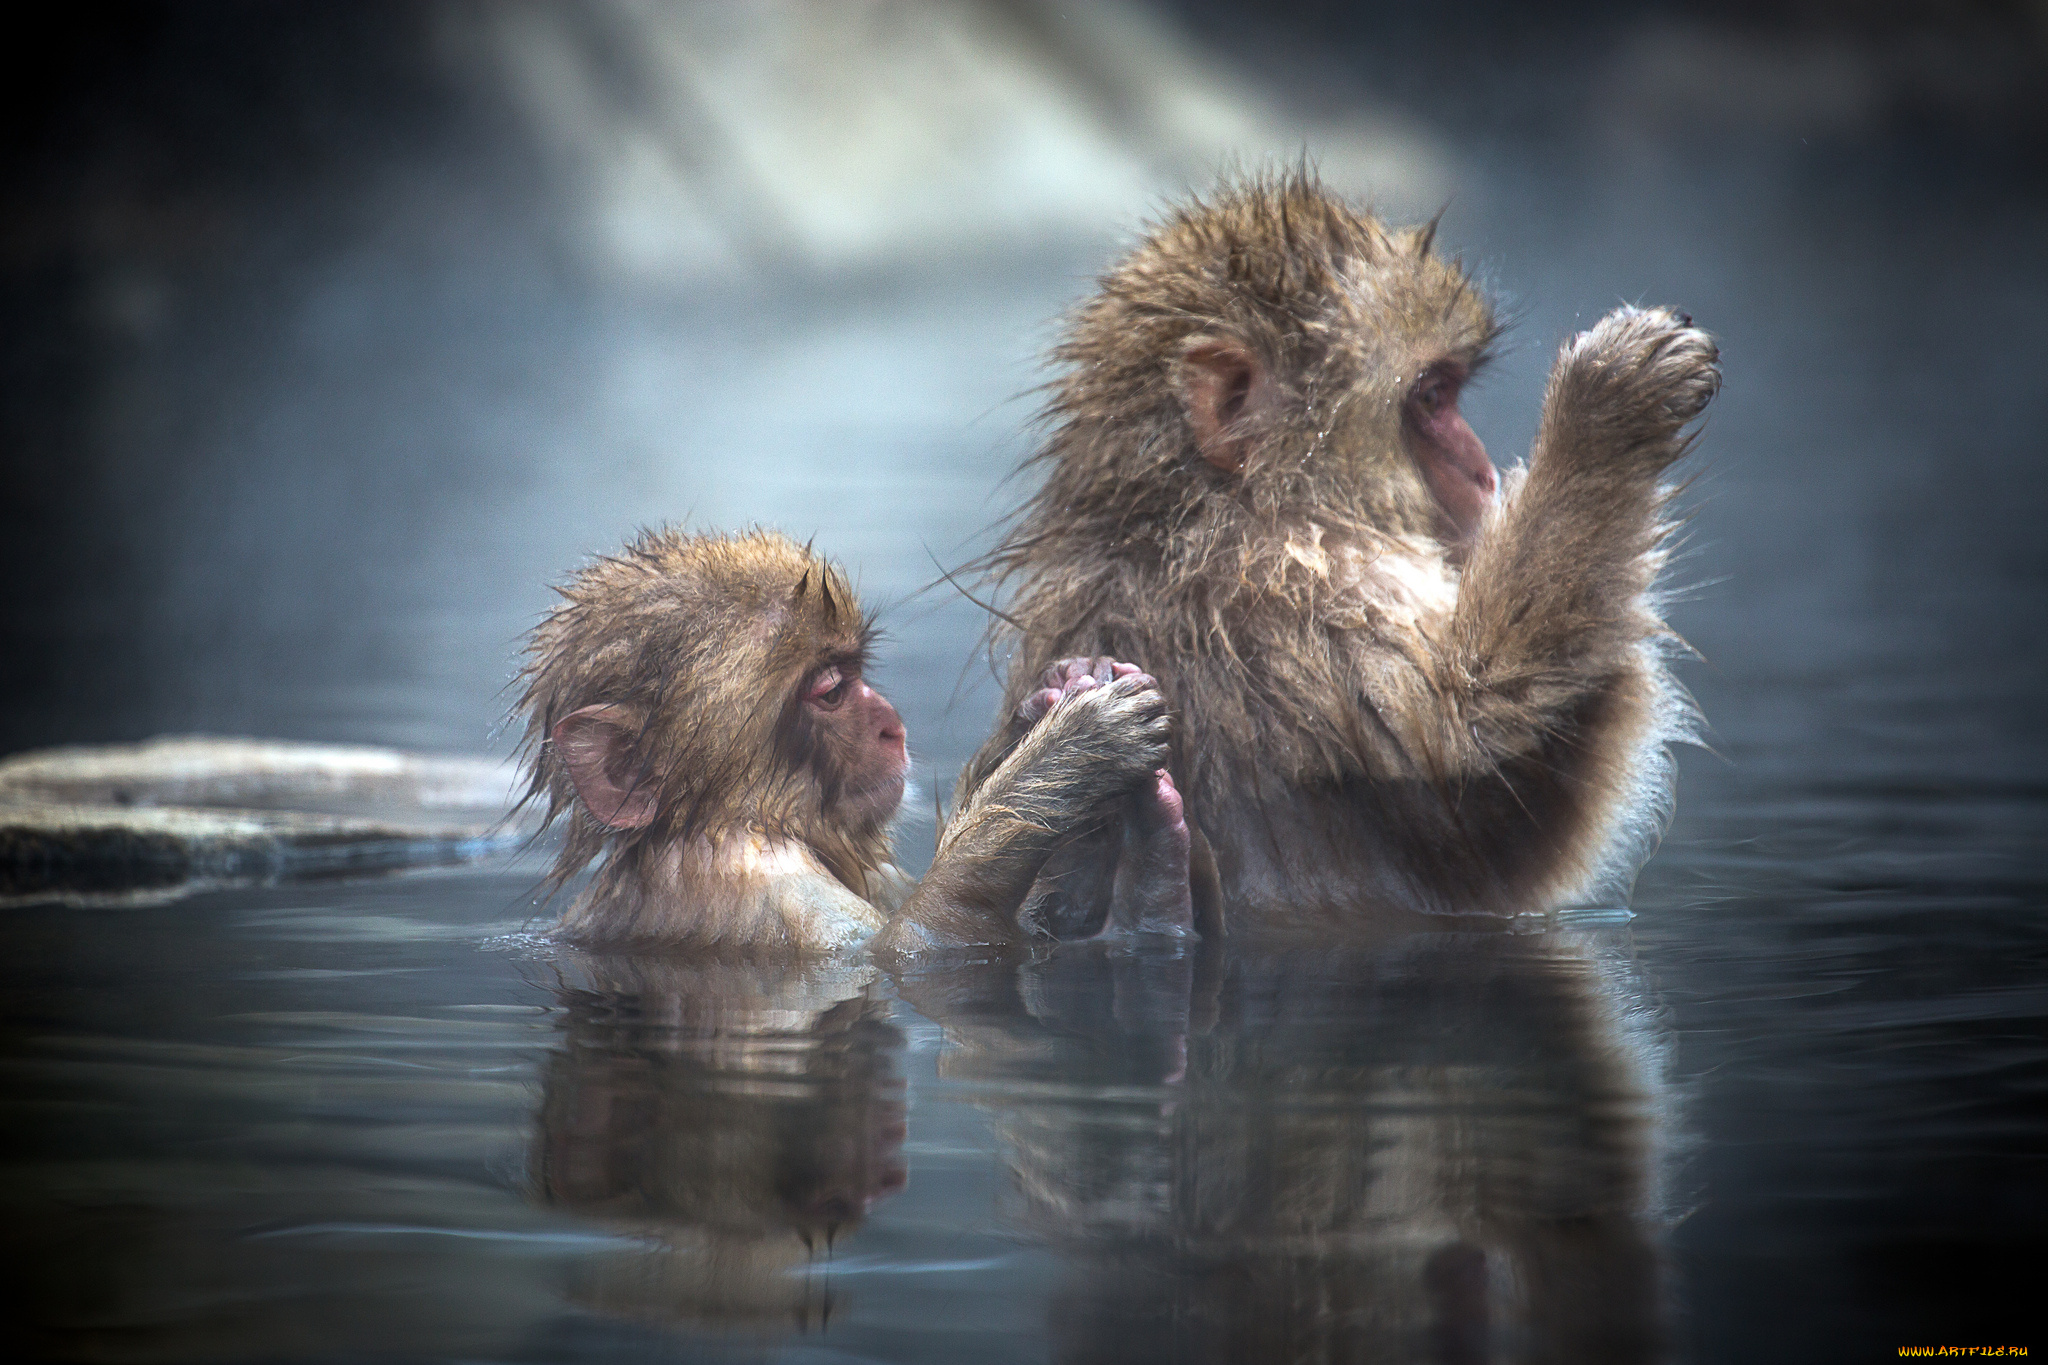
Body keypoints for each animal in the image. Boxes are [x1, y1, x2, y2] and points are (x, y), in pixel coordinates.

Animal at [515, 527, 1171, 954]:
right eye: (830, 691)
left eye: (855, 672)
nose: (891, 724)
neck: (723, 821)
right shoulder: (769, 888)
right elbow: (912, 950)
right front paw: (1074, 752)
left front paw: (1057, 696)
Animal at [954, 171, 1720, 941]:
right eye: (1433, 396)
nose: (1482, 476)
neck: (1190, 516)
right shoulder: (1300, 596)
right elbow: (1483, 737)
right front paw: (1605, 414)